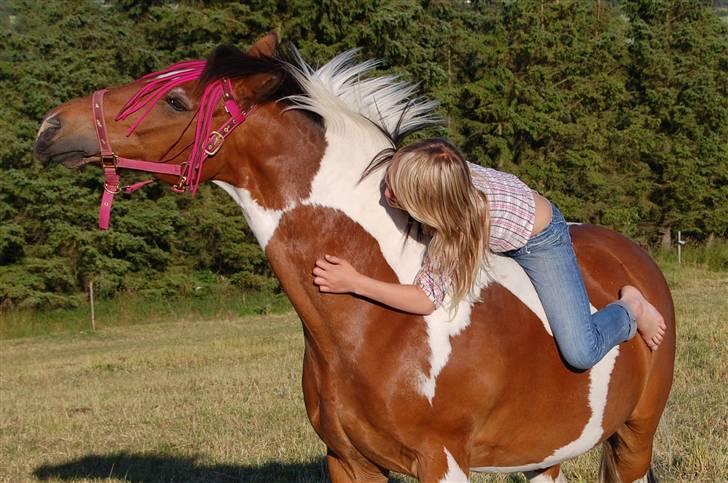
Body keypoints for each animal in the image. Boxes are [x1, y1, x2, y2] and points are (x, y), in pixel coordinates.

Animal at [33, 32, 675, 483]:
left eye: (173, 99)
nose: (49, 128)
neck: (377, 322)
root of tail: (636, 262)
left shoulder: (442, 462)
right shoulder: (347, 460)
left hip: (636, 438)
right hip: (547, 453)